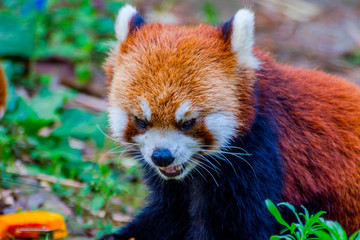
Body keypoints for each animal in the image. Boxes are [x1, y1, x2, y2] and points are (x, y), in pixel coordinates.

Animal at [100, 4, 360, 239]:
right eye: (141, 121)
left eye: (188, 122)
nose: (162, 156)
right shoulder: (173, 187)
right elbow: (167, 217)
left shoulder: (259, 157)